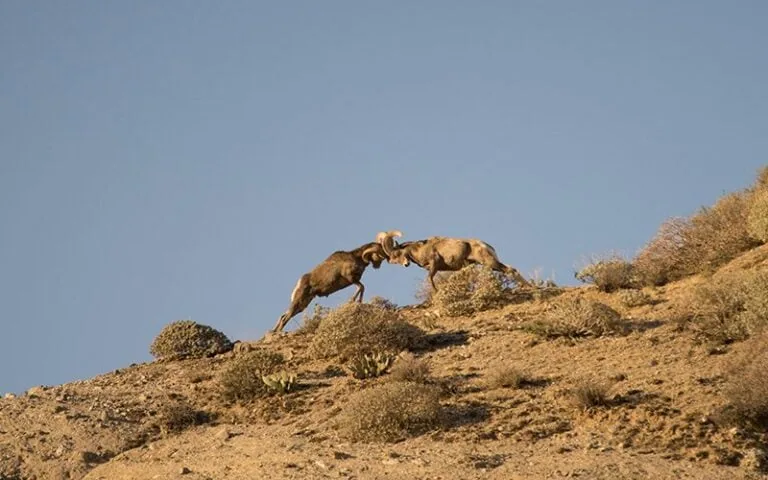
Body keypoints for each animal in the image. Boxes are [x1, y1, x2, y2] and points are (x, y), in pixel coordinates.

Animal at [376, 231, 532, 291]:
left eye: (396, 254)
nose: (406, 264)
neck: (420, 249)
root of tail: (486, 246)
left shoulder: (433, 266)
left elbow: (430, 280)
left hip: (490, 263)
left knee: (510, 270)